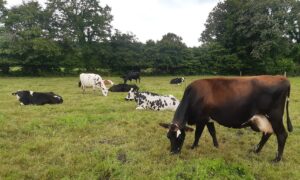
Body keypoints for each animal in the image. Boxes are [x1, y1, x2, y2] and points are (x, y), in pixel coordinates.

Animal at [161, 75, 292, 162]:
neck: (193, 96)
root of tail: (282, 78)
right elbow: (212, 132)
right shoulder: (209, 119)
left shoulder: (201, 119)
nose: (173, 153)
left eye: (180, 137)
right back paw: (256, 150)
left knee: (282, 135)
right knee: (267, 133)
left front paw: (193, 147)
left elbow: (198, 134)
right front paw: (216, 146)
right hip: (263, 119)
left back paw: (277, 159)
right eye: (168, 137)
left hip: (275, 117)